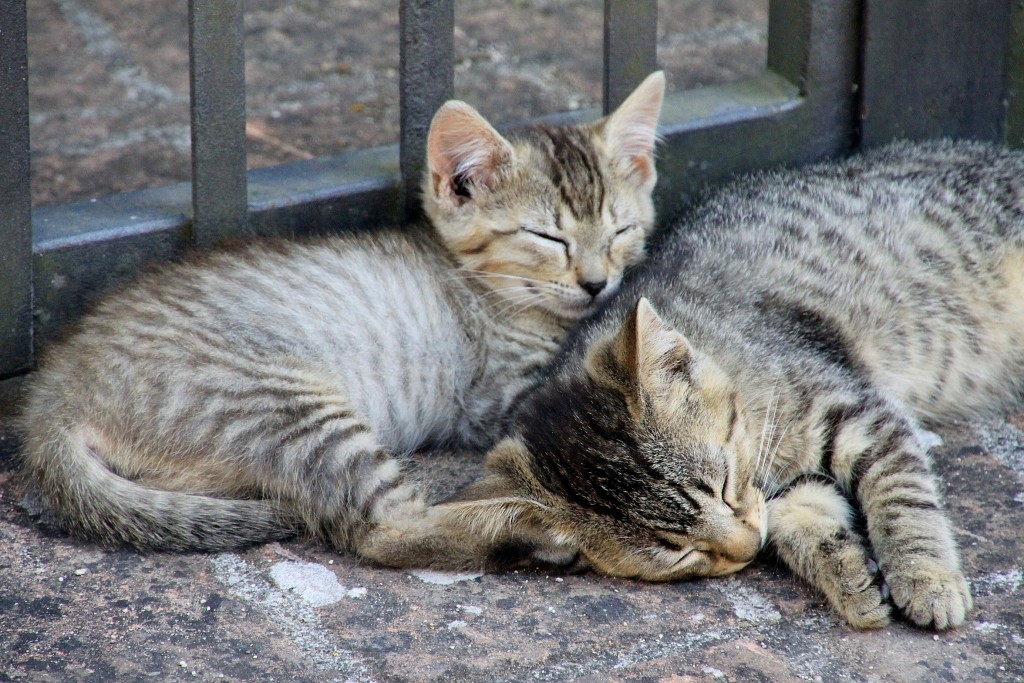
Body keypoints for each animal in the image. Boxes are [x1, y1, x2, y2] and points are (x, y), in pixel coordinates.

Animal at [18, 73, 671, 557]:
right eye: (546, 237)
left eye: (620, 232)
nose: (596, 283)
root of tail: (53, 395)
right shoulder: (502, 396)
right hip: (282, 404)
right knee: (383, 531)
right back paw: (531, 533)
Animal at [362, 139, 1024, 630]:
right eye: (681, 553)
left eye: (723, 485)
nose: (746, 547)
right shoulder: (787, 490)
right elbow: (805, 520)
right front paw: (847, 575)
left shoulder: (859, 409)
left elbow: (902, 496)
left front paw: (926, 577)